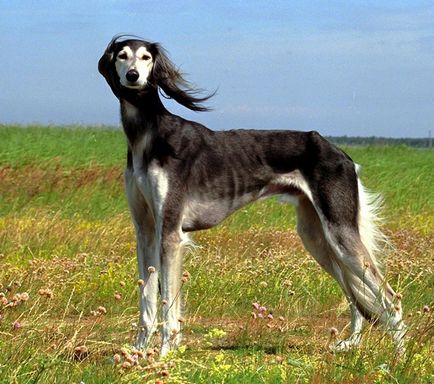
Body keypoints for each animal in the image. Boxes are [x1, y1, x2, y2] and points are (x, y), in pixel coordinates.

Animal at [99, 34, 406, 356]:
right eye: (122, 55)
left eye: (146, 57)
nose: (133, 76)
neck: (149, 135)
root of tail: (342, 154)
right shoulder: (145, 230)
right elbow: (146, 297)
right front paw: (137, 352)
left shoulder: (170, 232)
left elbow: (168, 303)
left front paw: (164, 355)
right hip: (317, 236)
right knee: (356, 297)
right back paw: (350, 343)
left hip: (339, 232)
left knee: (389, 297)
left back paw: (399, 356)